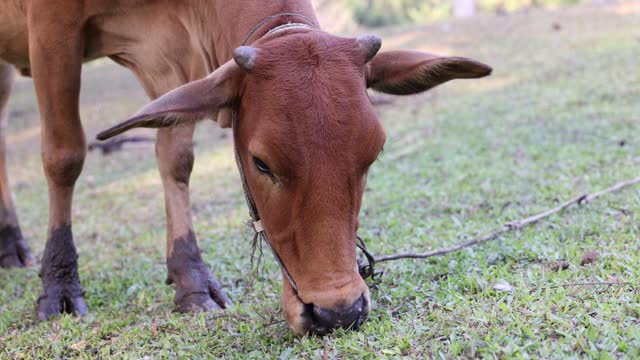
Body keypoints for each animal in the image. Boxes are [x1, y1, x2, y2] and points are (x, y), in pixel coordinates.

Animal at [0, 0, 490, 334]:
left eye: (373, 155)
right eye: (262, 163)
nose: (338, 312)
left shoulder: (176, 55)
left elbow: (176, 158)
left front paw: (191, 279)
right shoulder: (53, 28)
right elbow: (65, 155)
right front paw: (60, 285)